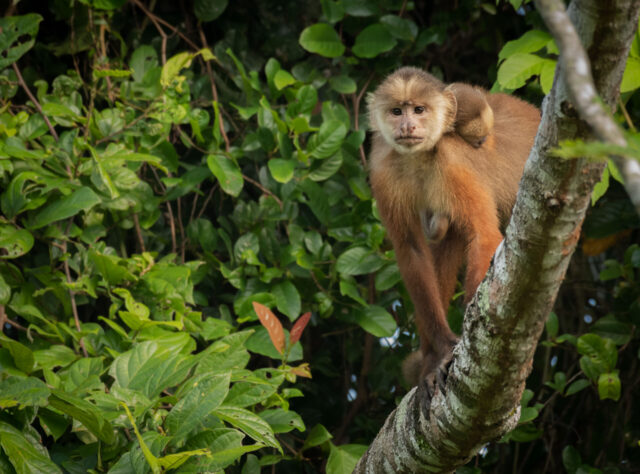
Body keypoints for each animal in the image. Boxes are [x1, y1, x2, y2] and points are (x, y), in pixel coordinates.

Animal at [367, 66, 540, 384]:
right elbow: (411, 251)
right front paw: (440, 348)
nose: (407, 125)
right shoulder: (383, 168)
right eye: (397, 111)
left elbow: (484, 234)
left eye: (419, 110)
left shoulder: (453, 160)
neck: (420, 157)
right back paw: (429, 360)